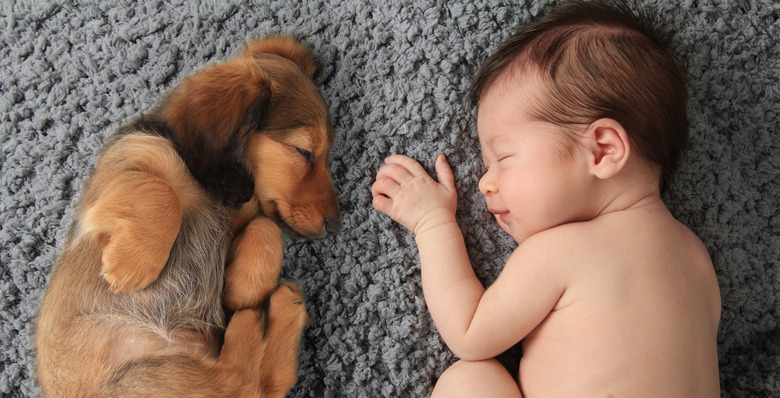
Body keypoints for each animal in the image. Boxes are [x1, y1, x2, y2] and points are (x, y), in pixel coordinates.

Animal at [35, 35, 342, 396]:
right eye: (303, 152)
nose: (336, 226)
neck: (209, 190)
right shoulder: (125, 165)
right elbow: (161, 192)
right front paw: (131, 265)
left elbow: (266, 226)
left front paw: (243, 289)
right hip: (148, 376)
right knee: (240, 381)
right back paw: (255, 321)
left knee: (256, 383)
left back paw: (278, 308)